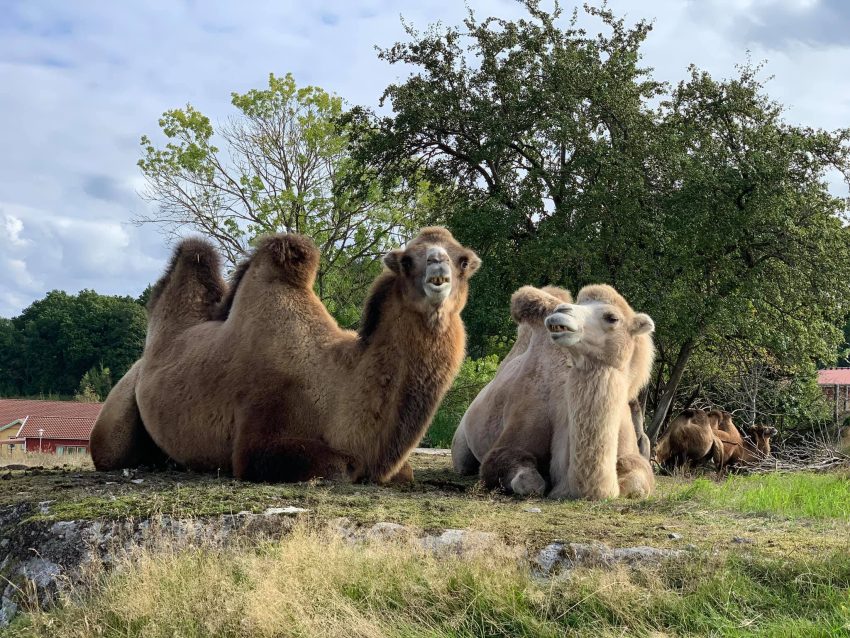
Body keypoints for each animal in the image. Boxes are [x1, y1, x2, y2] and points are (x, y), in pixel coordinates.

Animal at [93, 230, 480, 484]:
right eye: (407, 260)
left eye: (462, 260)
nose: (438, 267)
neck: (334, 382)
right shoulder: (258, 435)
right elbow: (342, 467)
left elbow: (405, 472)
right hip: (114, 419)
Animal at [450, 284, 656, 500]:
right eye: (579, 303)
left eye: (612, 317)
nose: (561, 311)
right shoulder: (509, 445)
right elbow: (528, 481)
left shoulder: (632, 454)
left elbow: (637, 484)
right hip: (461, 442)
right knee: (464, 463)